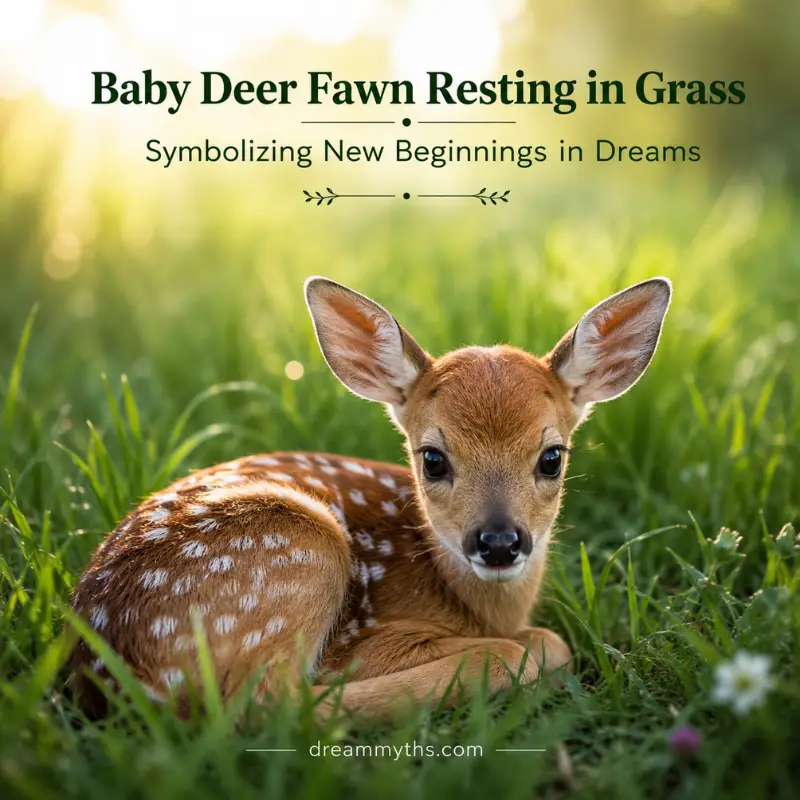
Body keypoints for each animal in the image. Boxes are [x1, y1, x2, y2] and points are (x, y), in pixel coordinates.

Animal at [69, 275, 671, 720]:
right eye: (432, 458)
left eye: (552, 457)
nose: (499, 542)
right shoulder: (365, 640)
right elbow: (540, 643)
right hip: (293, 550)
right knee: (267, 707)